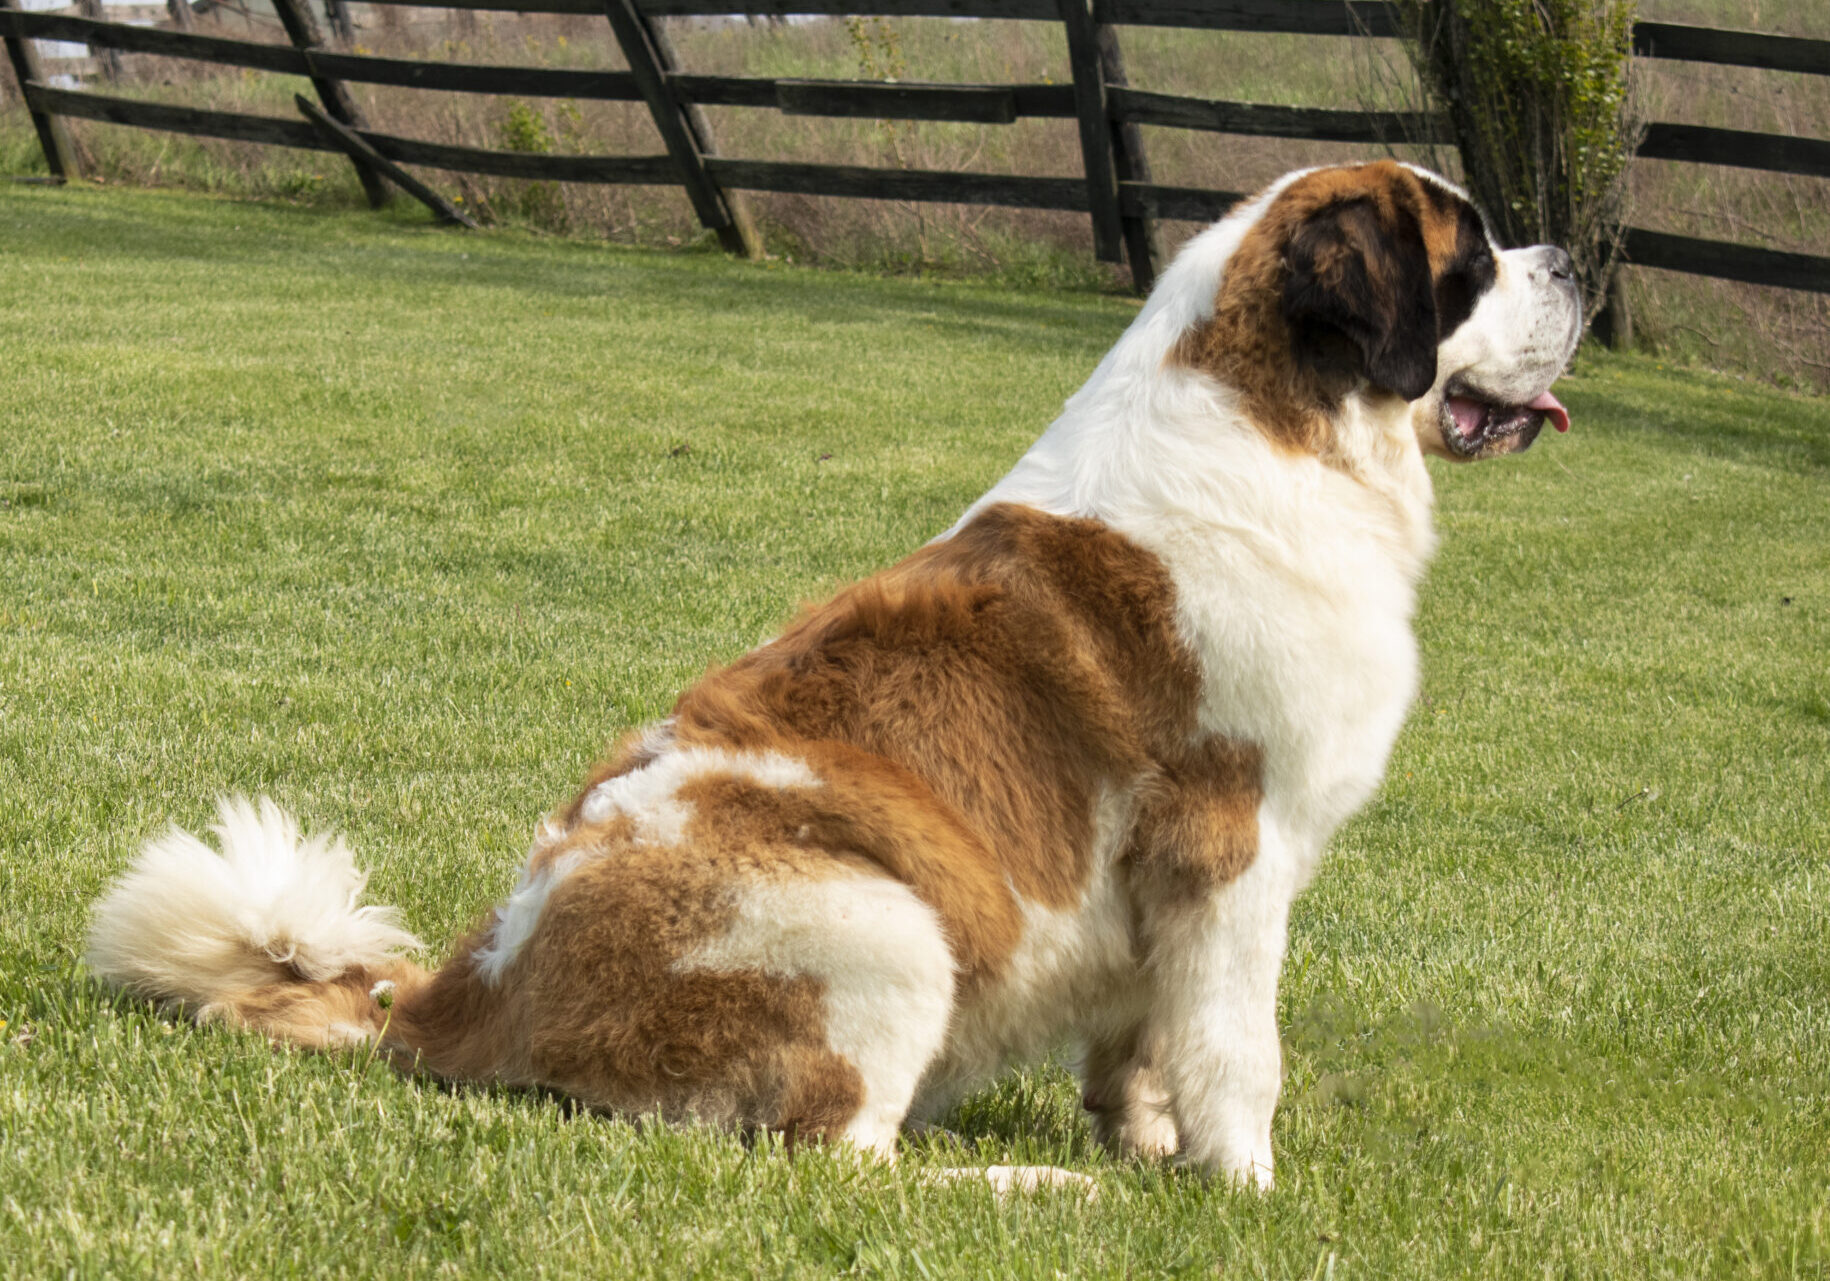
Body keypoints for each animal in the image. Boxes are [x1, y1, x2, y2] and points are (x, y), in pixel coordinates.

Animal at [86, 160, 1581, 1193]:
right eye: (1470, 257)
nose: (1567, 259)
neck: (1284, 428)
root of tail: (464, 996)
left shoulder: (1172, 894)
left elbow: (1147, 1037)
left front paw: (1149, 1144)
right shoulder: (1231, 850)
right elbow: (1234, 1045)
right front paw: (1241, 1192)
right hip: (879, 920)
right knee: (841, 1165)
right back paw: (1032, 1188)